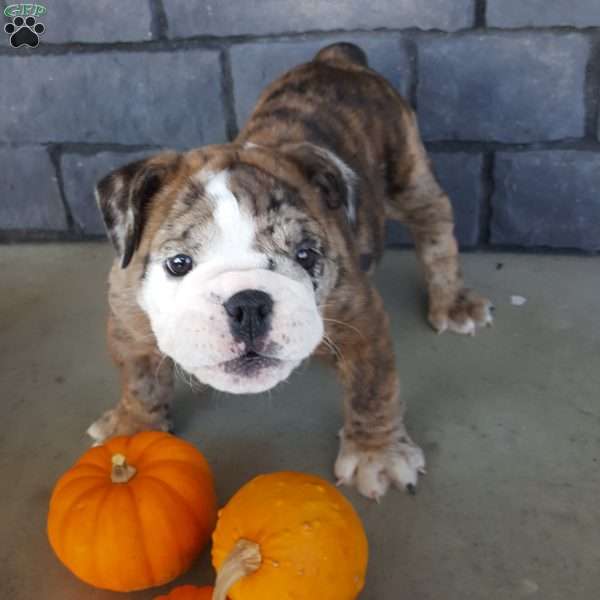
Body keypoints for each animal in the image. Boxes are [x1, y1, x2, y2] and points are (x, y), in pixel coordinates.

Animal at [89, 42, 492, 500]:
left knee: (435, 226)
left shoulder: (361, 319)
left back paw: (453, 302)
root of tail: (337, 59)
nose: (248, 304)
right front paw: (133, 430)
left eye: (304, 255)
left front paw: (377, 454)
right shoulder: (127, 319)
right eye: (179, 264)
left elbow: (373, 387)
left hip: (408, 172)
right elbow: (139, 379)